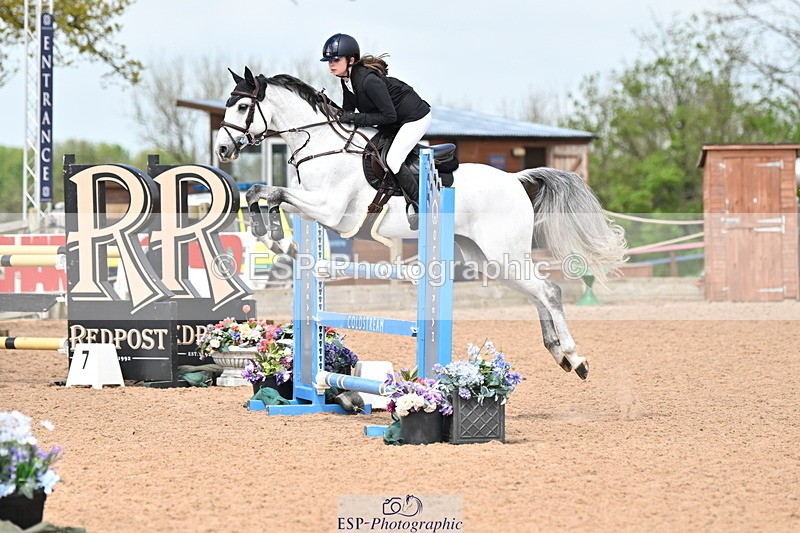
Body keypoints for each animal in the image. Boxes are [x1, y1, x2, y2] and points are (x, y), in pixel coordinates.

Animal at [214, 67, 627, 380]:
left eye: (243, 105)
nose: (222, 149)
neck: (319, 144)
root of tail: (515, 179)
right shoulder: (312, 206)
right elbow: (264, 195)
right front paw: (277, 240)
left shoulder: (330, 211)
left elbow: (274, 193)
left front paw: (276, 239)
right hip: (487, 259)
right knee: (536, 293)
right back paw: (558, 353)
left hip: (502, 251)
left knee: (549, 291)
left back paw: (576, 357)